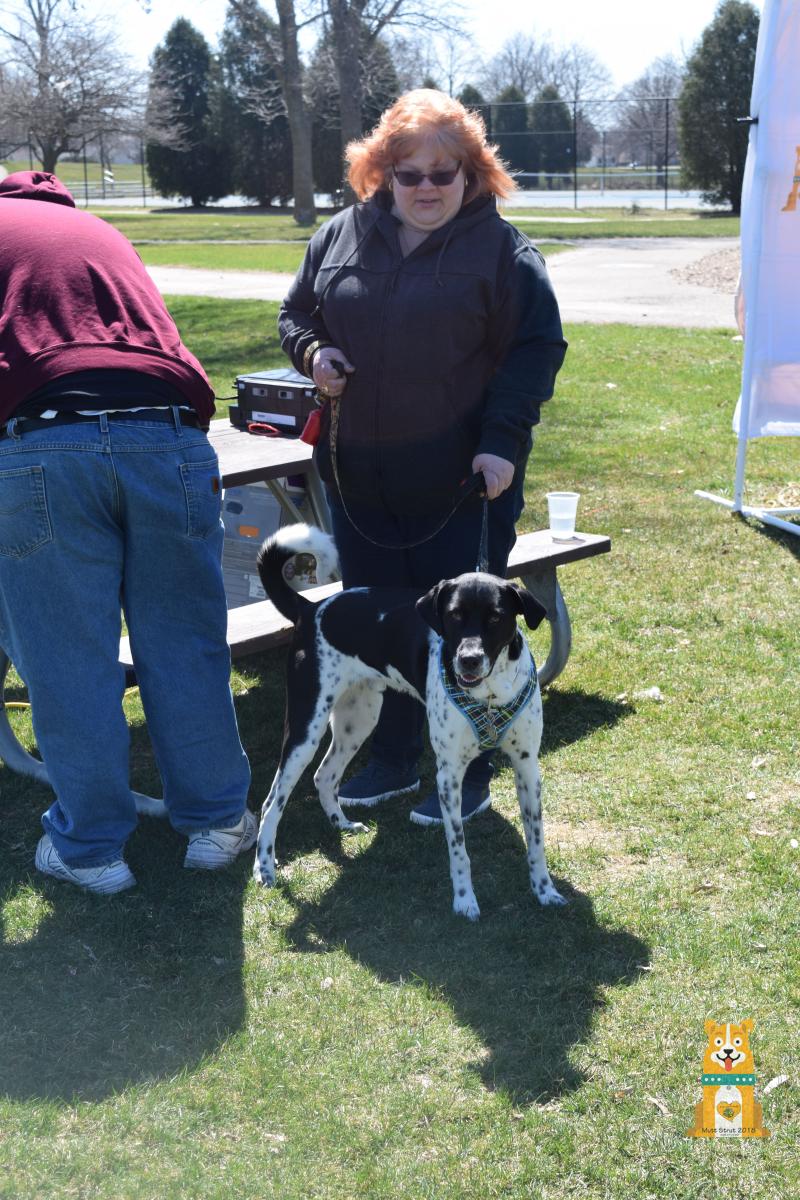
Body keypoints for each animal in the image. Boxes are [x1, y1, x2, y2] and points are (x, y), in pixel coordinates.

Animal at [252, 524, 567, 920]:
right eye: (454, 616)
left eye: (496, 618)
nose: (468, 660)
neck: (489, 696)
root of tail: (311, 608)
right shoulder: (449, 774)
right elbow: (459, 850)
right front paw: (464, 900)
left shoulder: (527, 767)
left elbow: (536, 840)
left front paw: (545, 891)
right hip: (306, 728)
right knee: (271, 802)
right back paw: (264, 866)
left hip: (359, 718)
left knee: (324, 775)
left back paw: (342, 824)